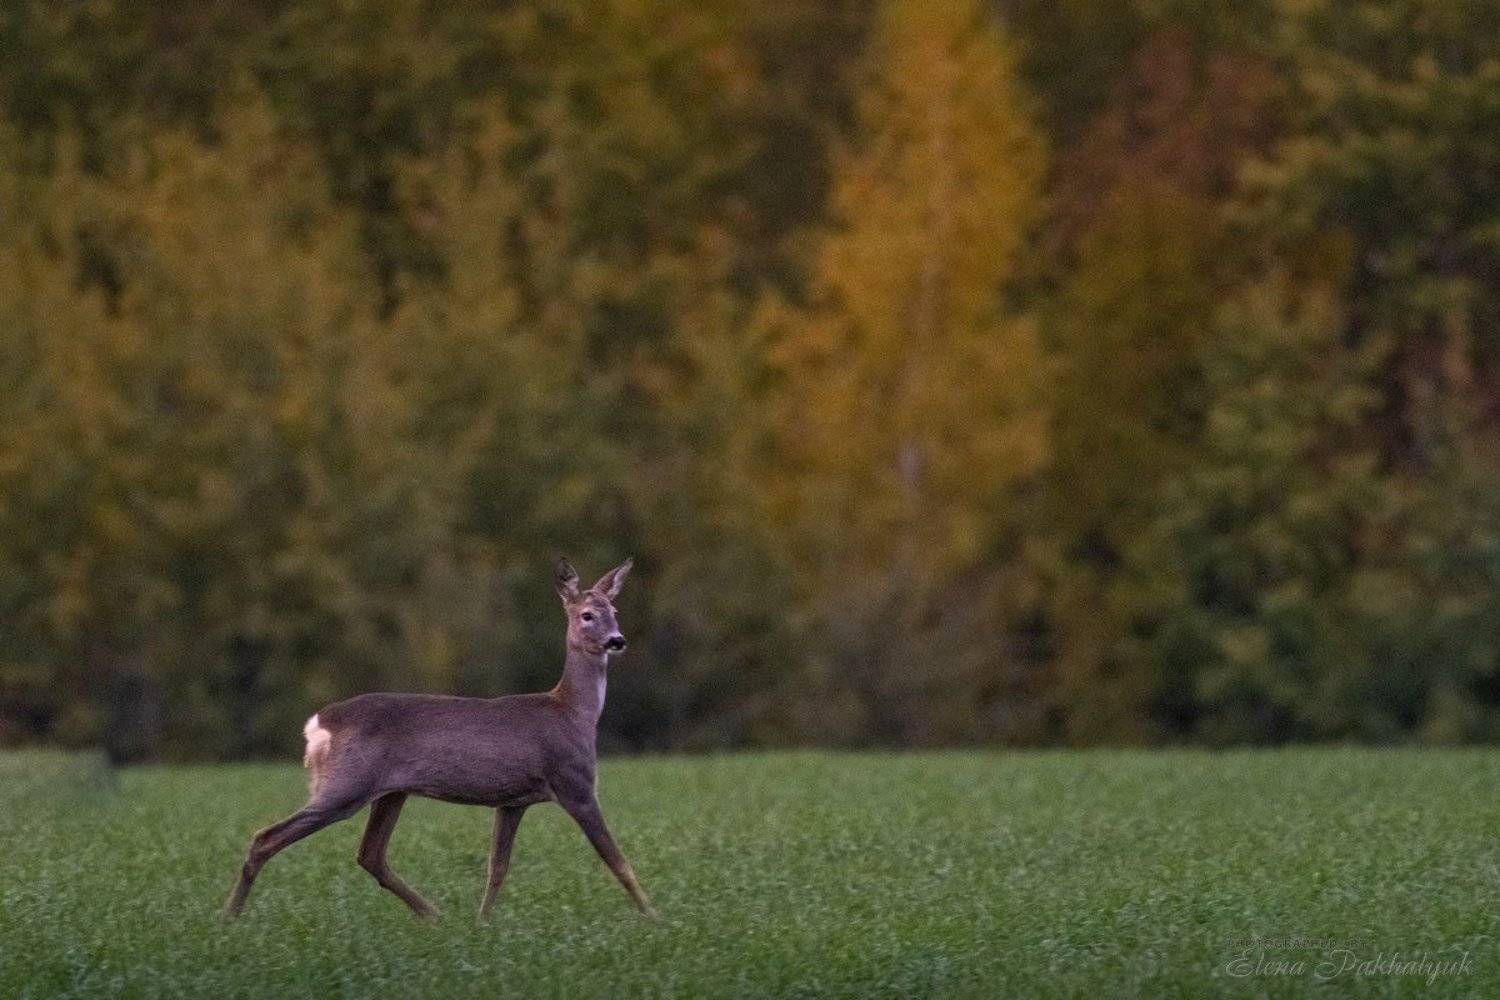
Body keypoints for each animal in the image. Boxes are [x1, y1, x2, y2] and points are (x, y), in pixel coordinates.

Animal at [223, 557, 658, 923]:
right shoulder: (575, 782)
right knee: (266, 837)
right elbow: (619, 861)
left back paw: (435, 916)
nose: (617, 640)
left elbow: (497, 868)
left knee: (370, 855)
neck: (573, 713)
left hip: (390, 792)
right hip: (346, 784)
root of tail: (317, 724)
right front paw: (656, 919)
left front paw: (483, 923)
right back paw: (230, 917)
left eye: (615, 612)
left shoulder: (512, 800)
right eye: (587, 614)